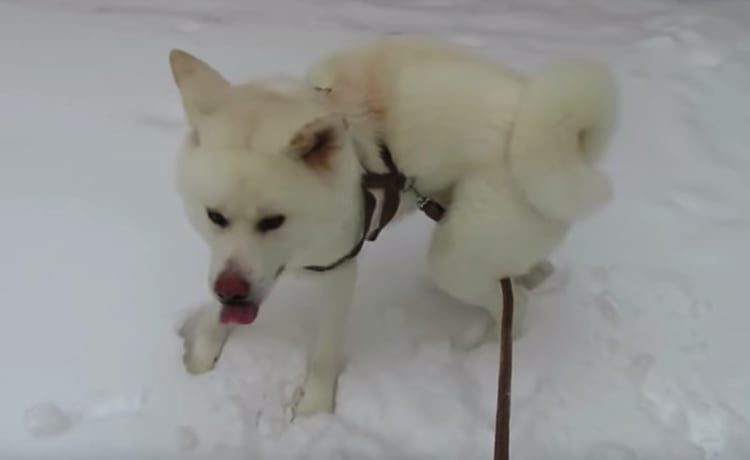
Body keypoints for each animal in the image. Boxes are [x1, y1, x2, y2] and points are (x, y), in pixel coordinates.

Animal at [170, 36, 616, 416]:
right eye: (215, 216)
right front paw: (197, 365)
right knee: (518, 277)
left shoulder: (338, 271)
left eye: (273, 221)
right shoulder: (225, 264)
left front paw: (314, 411)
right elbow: (216, 314)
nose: (232, 291)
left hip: (453, 261)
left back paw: (491, 352)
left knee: (515, 305)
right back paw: (530, 274)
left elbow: (323, 354)